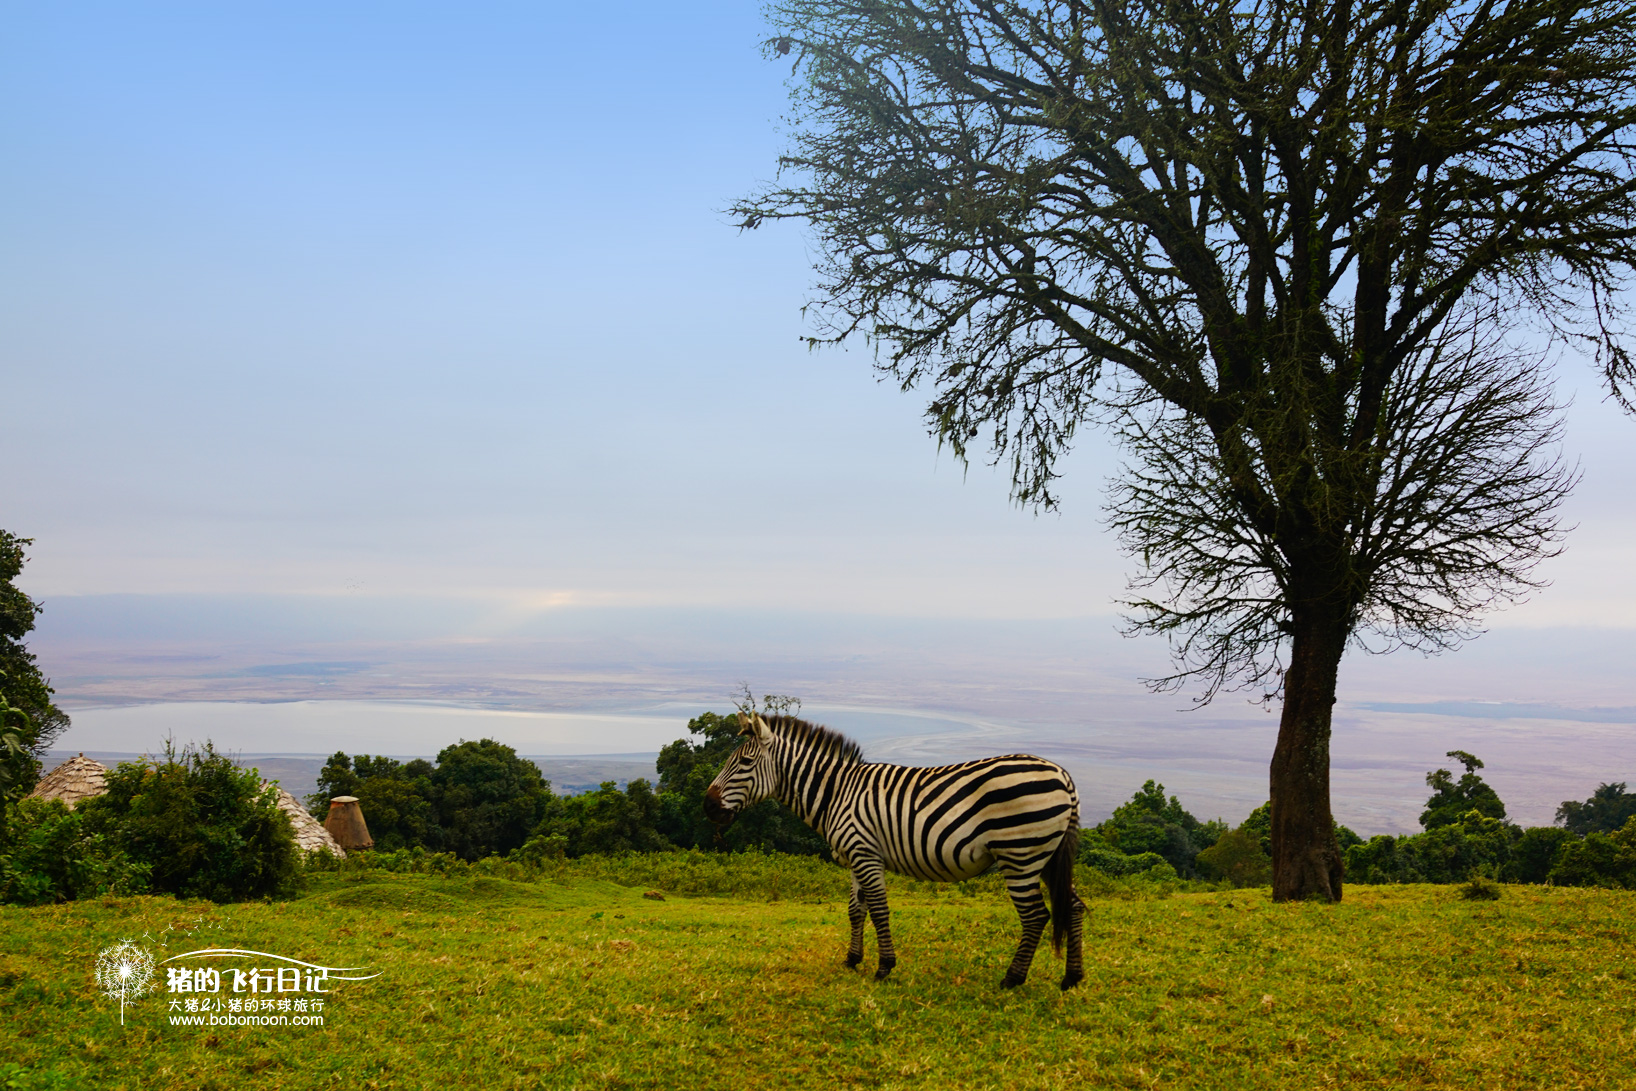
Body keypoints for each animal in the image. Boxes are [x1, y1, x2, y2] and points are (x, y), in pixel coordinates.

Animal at [703, 713, 1086, 994]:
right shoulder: (856, 857)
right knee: (1075, 906)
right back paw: (1072, 978)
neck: (836, 792)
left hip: (1019, 856)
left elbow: (879, 911)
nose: (707, 807)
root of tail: (1064, 776)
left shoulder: (866, 855)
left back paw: (1012, 979)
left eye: (744, 762)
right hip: (1047, 857)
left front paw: (884, 967)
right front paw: (852, 959)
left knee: (1035, 915)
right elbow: (855, 911)